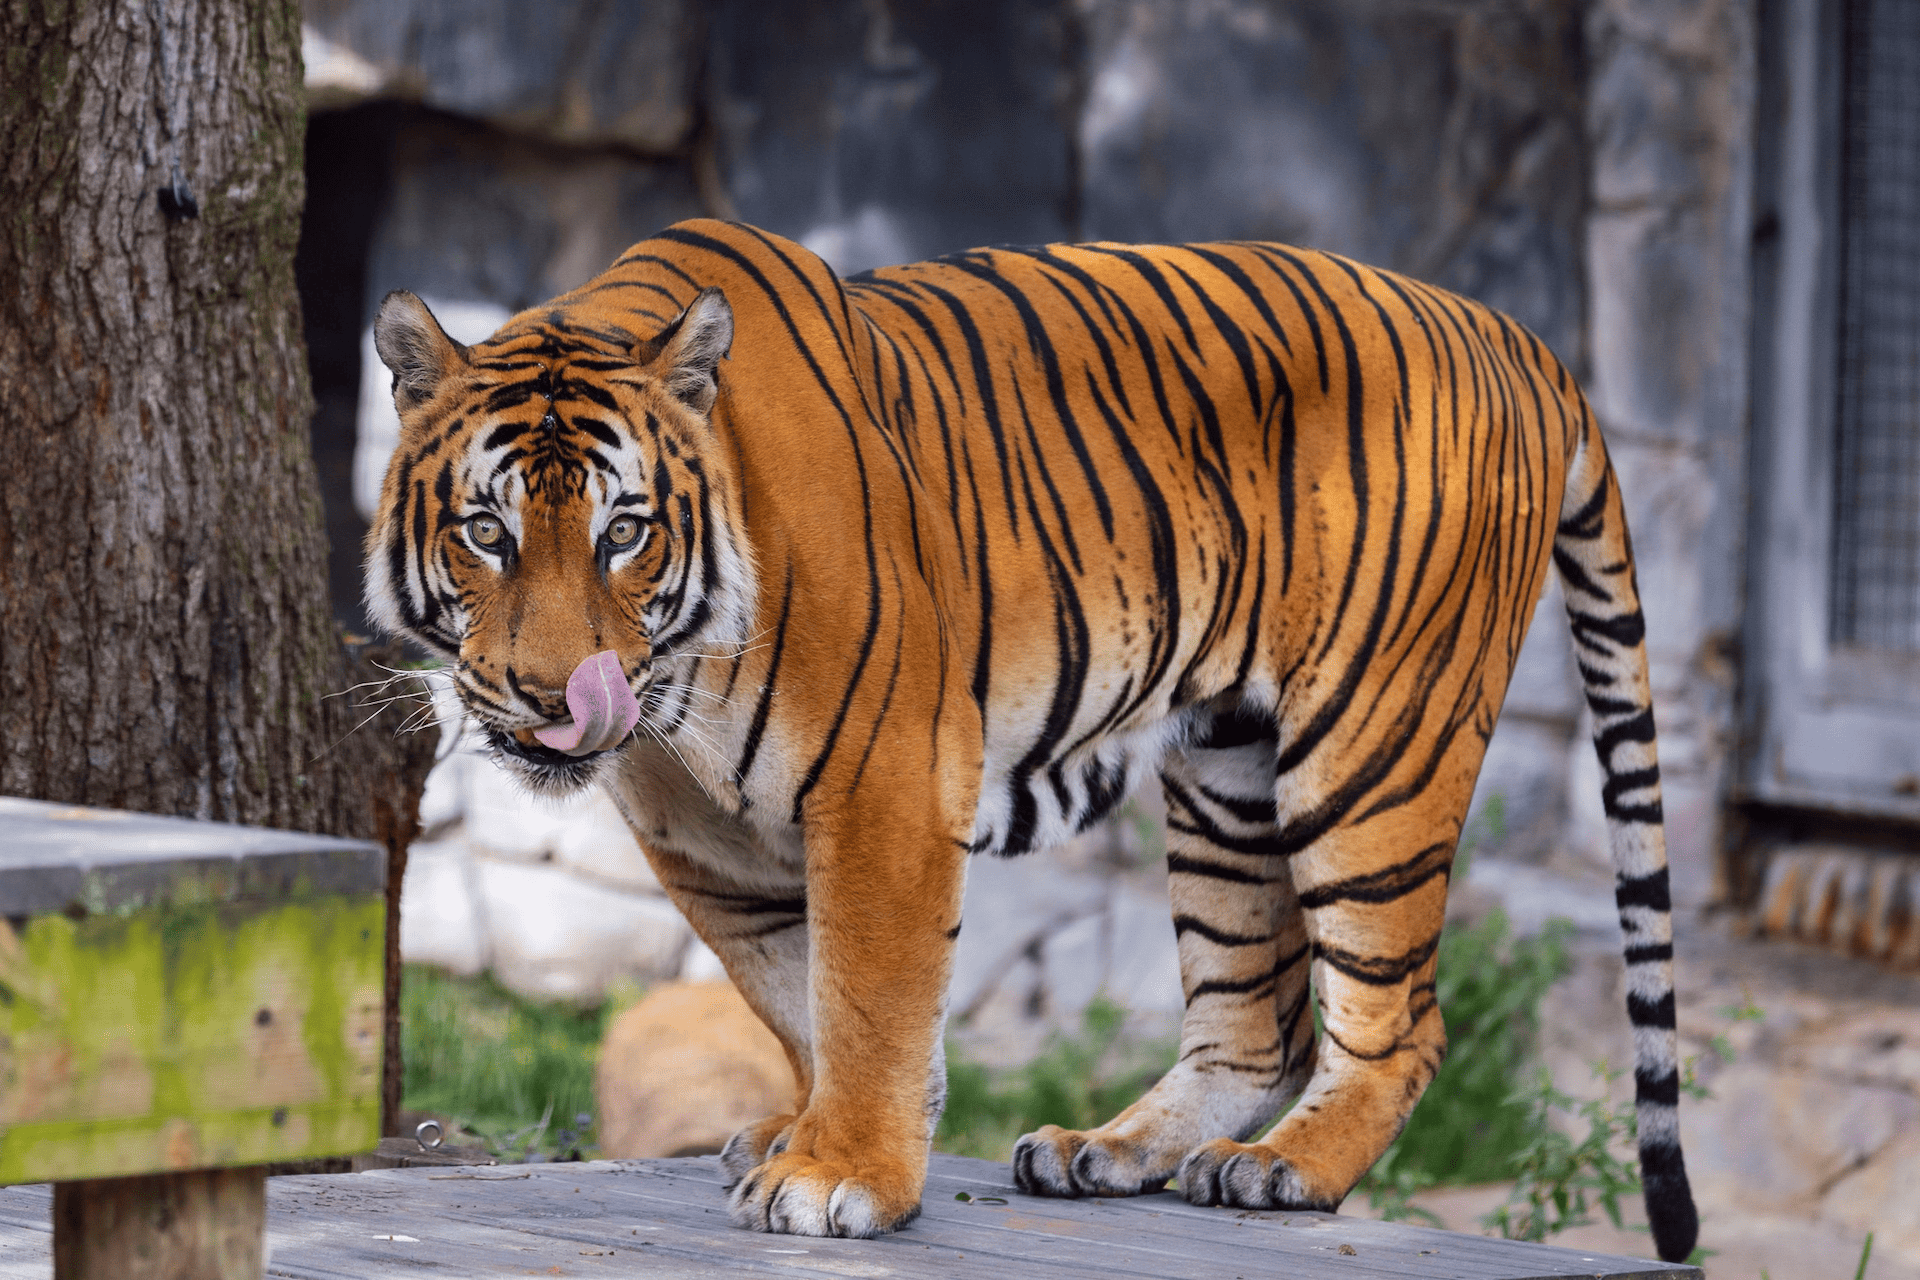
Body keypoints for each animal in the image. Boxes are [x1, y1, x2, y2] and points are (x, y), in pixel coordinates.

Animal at [365, 217, 1698, 1260]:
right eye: (485, 532)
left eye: (625, 531)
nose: (556, 696)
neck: (681, 682)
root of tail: (1515, 336)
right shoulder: (700, 835)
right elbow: (794, 993)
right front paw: (820, 1131)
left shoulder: (888, 774)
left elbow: (867, 989)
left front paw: (839, 1171)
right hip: (1228, 765)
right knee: (1254, 1017)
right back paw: (1106, 1148)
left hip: (1374, 745)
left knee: (1400, 1017)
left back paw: (1288, 1168)